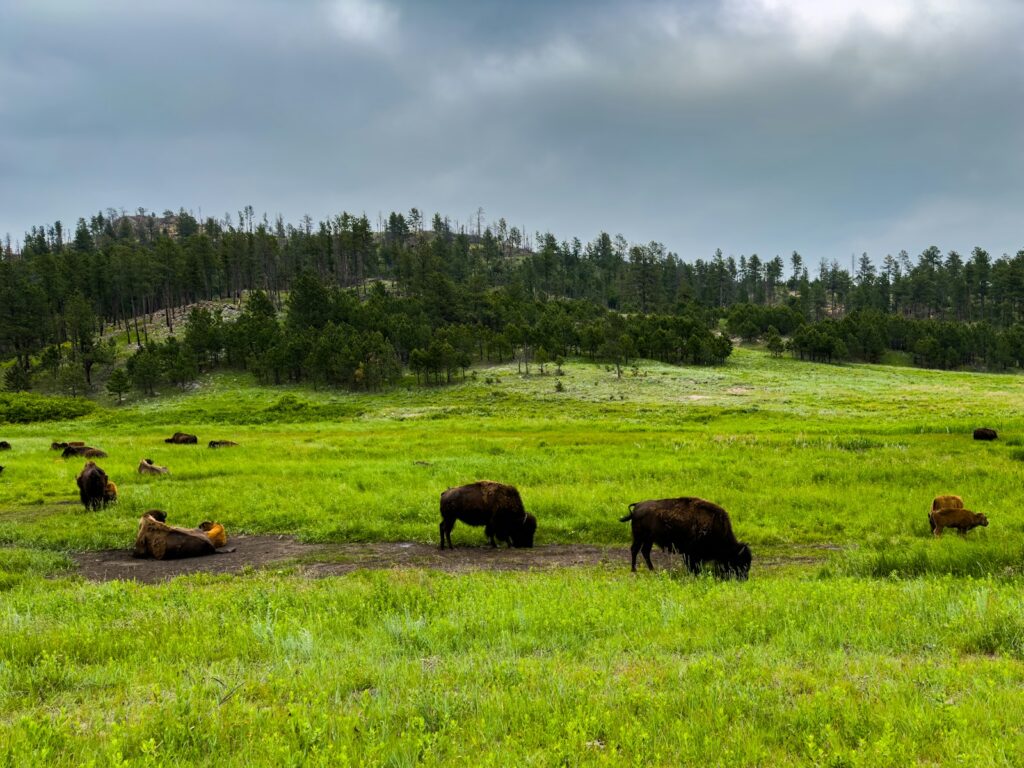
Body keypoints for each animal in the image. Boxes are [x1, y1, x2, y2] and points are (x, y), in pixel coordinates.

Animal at [620, 497, 752, 578]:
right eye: (740, 561)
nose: (744, 578)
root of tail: (637, 505)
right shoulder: (691, 554)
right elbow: (692, 565)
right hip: (639, 537)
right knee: (635, 550)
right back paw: (634, 570)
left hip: (649, 539)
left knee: (645, 551)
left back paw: (652, 569)